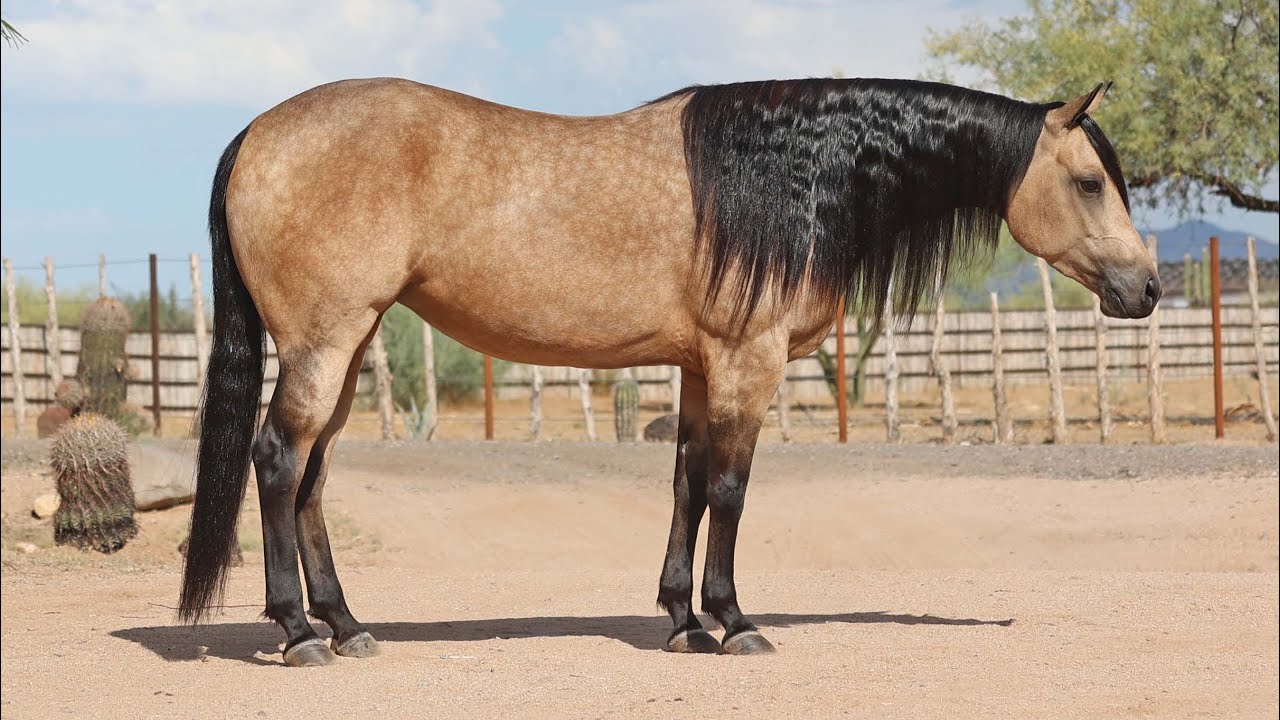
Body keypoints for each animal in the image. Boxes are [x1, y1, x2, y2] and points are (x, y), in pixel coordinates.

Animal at [179, 77, 1159, 666]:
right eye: (1089, 182)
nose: (1145, 287)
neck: (793, 177)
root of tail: (258, 132)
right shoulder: (745, 363)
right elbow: (729, 489)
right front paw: (735, 621)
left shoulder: (697, 369)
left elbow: (686, 485)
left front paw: (684, 621)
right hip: (325, 343)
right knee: (278, 462)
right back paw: (299, 632)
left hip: (347, 351)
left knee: (311, 477)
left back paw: (347, 626)